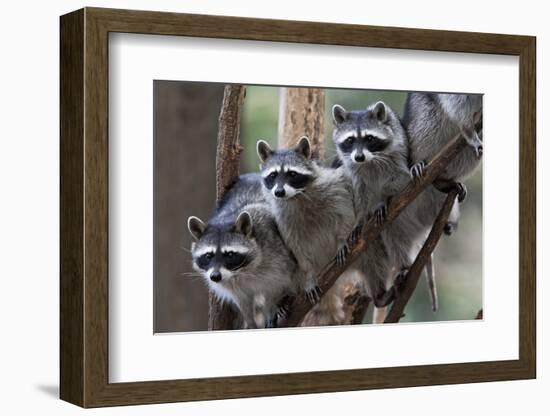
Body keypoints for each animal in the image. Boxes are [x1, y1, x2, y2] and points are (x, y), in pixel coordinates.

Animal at [188, 172, 298, 328]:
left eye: (230, 254)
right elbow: (243, 301)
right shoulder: (230, 283)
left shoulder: (276, 254)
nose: (215, 276)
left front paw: (271, 307)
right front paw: (250, 321)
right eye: (208, 255)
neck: (241, 272)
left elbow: (274, 287)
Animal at [256, 138, 360, 304]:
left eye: (292, 174)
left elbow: (345, 214)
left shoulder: (335, 188)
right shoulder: (283, 219)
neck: (297, 196)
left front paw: (342, 239)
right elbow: (298, 249)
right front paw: (309, 275)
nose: (279, 192)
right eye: (273, 175)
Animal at [334, 101, 454, 310]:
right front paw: (361, 218)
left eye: (369, 138)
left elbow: (400, 179)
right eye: (350, 140)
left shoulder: (398, 152)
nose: (359, 157)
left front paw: (383, 198)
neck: (369, 160)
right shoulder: (353, 169)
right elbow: (359, 191)